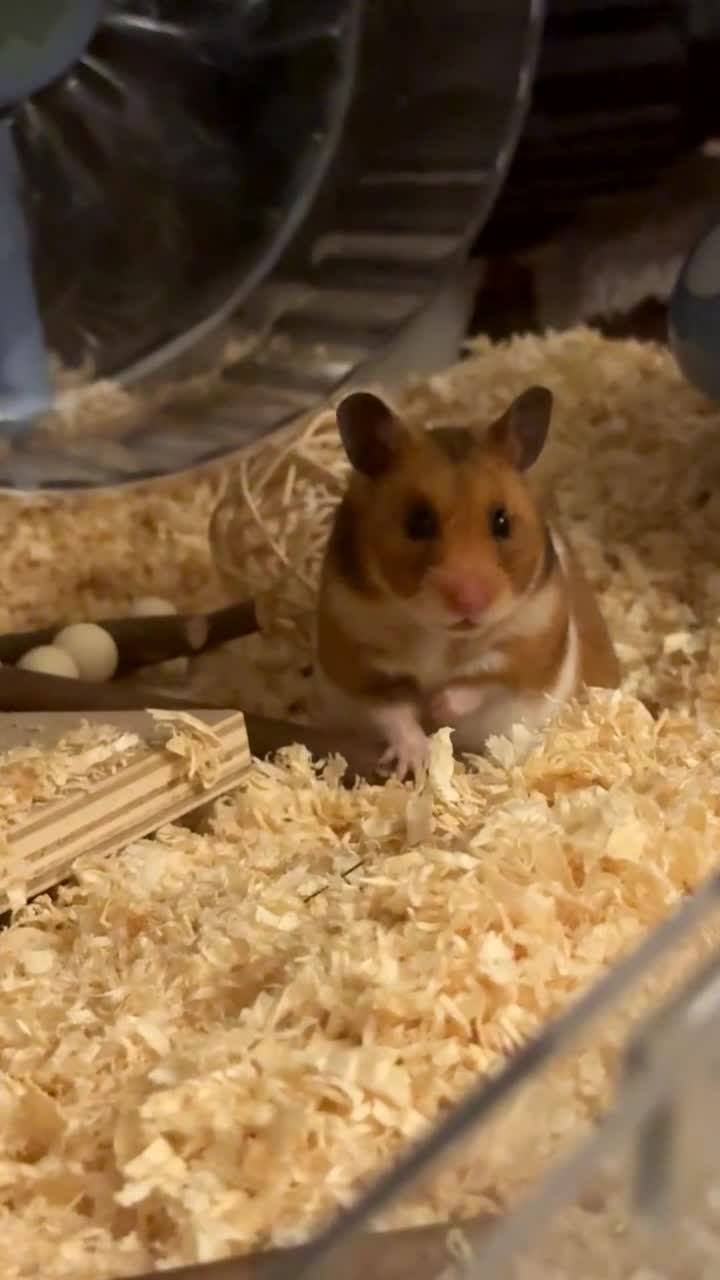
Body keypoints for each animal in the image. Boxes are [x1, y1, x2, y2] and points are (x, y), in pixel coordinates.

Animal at [312, 385, 620, 779]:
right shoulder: (355, 657)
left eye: (502, 521)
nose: (470, 601)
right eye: (418, 522)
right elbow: (393, 712)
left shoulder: (529, 641)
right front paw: (415, 759)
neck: (441, 636)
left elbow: (482, 679)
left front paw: (436, 707)